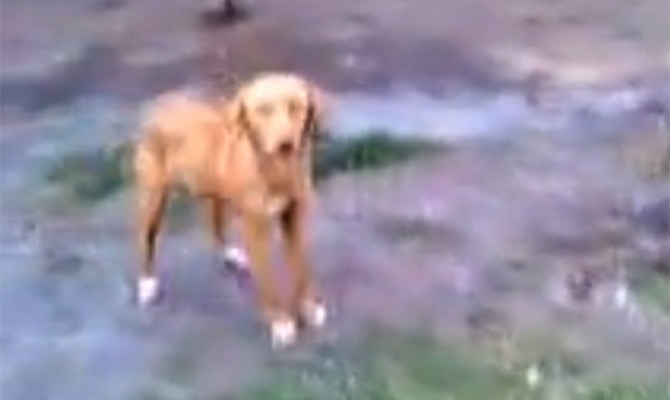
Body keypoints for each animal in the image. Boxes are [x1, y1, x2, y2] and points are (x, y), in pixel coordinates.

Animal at [132, 72, 328, 347]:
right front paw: (281, 323)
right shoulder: (256, 229)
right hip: (153, 198)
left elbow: (302, 268)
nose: (285, 144)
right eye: (263, 110)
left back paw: (230, 255)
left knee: (214, 223)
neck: (277, 171)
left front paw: (308, 308)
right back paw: (147, 283)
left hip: (216, 191)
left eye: (296, 106)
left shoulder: (295, 218)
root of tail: (160, 102)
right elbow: (268, 283)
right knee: (146, 239)